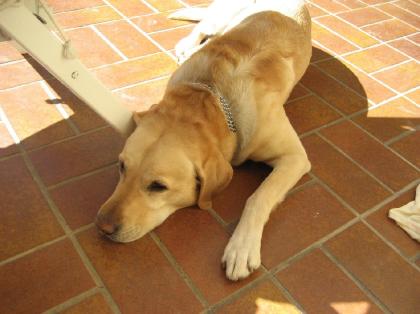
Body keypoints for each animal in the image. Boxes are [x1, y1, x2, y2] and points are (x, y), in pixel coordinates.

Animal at [96, 0, 312, 280]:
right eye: (122, 167)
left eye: (158, 186)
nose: (102, 226)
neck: (213, 95)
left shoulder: (295, 157)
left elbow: (258, 197)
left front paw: (242, 247)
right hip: (218, 19)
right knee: (201, 28)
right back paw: (187, 46)